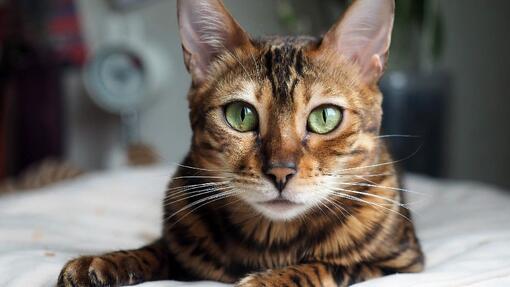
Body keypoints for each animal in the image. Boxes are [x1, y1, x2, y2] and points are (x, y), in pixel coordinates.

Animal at [57, 0, 424, 287]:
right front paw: (105, 261)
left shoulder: (400, 263)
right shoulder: (178, 248)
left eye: (325, 117)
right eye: (240, 115)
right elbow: (155, 250)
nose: (280, 172)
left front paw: (268, 280)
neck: (273, 241)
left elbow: (330, 266)